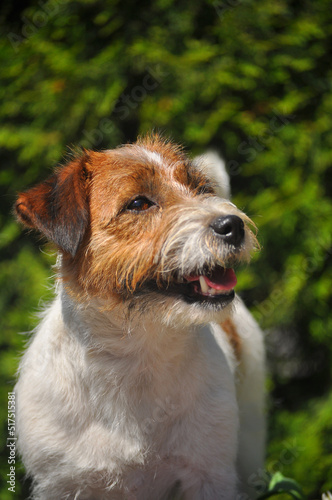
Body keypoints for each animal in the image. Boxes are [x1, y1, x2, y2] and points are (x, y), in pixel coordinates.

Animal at [14, 134, 264, 500]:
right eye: (138, 203)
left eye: (201, 189)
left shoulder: (209, 475)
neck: (136, 353)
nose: (233, 225)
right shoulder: (62, 483)